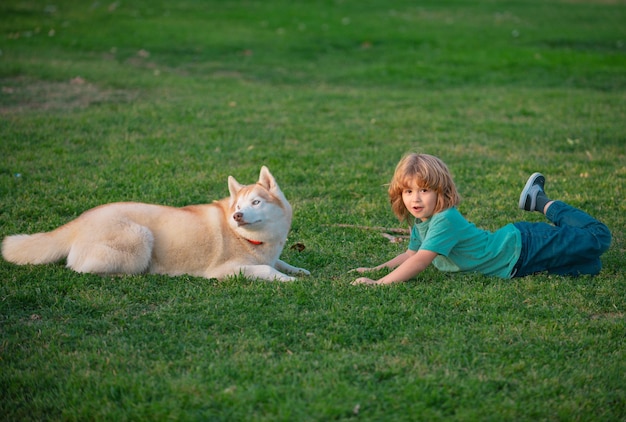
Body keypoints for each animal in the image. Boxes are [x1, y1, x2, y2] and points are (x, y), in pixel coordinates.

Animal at [1, 166, 310, 282]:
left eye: (255, 203)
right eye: (237, 207)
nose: (237, 216)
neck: (249, 239)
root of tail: (79, 220)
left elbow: (280, 262)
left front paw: (298, 269)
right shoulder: (226, 270)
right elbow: (266, 270)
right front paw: (288, 280)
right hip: (140, 238)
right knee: (81, 268)